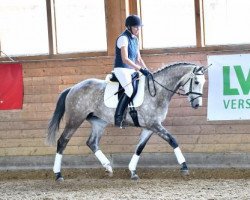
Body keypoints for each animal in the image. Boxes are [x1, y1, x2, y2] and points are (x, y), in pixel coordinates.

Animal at [47, 62, 207, 181]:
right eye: (196, 81)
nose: (197, 105)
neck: (157, 91)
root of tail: (73, 88)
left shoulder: (149, 127)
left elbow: (139, 148)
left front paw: (133, 171)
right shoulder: (154, 125)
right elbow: (172, 140)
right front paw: (184, 166)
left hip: (99, 122)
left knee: (92, 142)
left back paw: (108, 167)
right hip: (75, 119)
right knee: (62, 141)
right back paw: (58, 174)